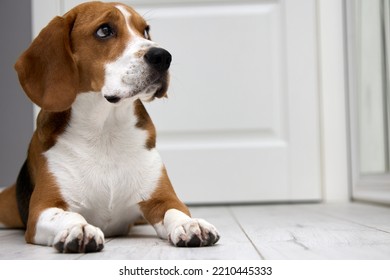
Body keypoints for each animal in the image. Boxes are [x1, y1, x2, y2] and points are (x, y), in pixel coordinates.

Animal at [0, 0, 219, 254]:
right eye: (104, 30)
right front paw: (80, 228)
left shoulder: (162, 199)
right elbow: (68, 216)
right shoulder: (42, 209)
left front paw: (191, 224)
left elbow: (176, 211)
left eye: (145, 31)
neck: (105, 131)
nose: (163, 56)